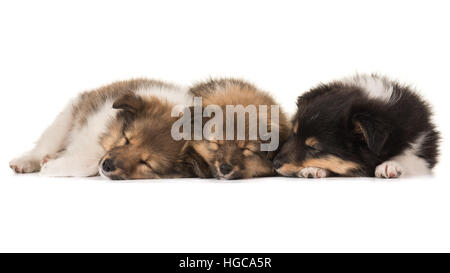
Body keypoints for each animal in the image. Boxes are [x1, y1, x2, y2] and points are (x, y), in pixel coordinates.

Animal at [9, 78, 207, 178]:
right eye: (126, 139)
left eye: (145, 163)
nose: (108, 165)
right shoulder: (92, 126)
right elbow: (89, 158)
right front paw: (51, 166)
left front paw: (52, 166)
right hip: (66, 118)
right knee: (43, 146)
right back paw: (25, 162)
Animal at [272, 73, 442, 177]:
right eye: (294, 134)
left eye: (314, 148)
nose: (274, 164)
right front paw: (314, 169)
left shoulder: (423, 148)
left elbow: (408, 157)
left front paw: (389, 166)